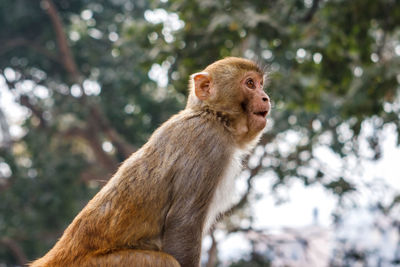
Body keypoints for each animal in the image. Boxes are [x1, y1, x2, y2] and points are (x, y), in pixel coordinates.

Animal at [29, 57, 270, 267]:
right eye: (250, 83)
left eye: (261, 84)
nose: (266, 97)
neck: (212, 116)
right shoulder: (210, 144)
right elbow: (183, 224)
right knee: (164, 261)